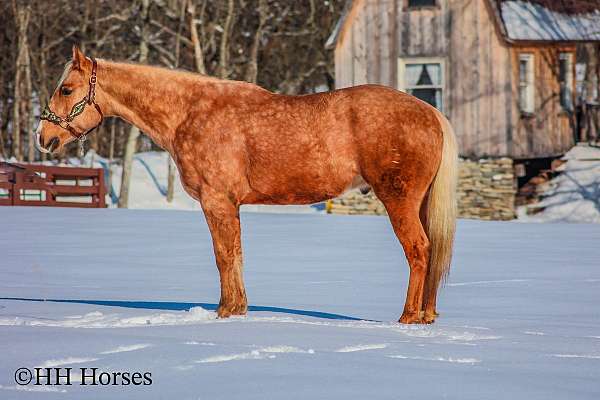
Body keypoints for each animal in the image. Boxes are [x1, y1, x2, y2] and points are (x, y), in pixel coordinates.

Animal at [37, 46, 458, 324]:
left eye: (66, 89)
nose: (43, 137)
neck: (189, 112)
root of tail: (430, 112)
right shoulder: (230, 204)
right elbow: (236, 254)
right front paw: (239, 309)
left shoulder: (216, 200)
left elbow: (223, 255)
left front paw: (226, 310)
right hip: (419, 202)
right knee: (432, 249)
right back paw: (426, 315)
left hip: (398, 199)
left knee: (419, 250)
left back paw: (408, 317)